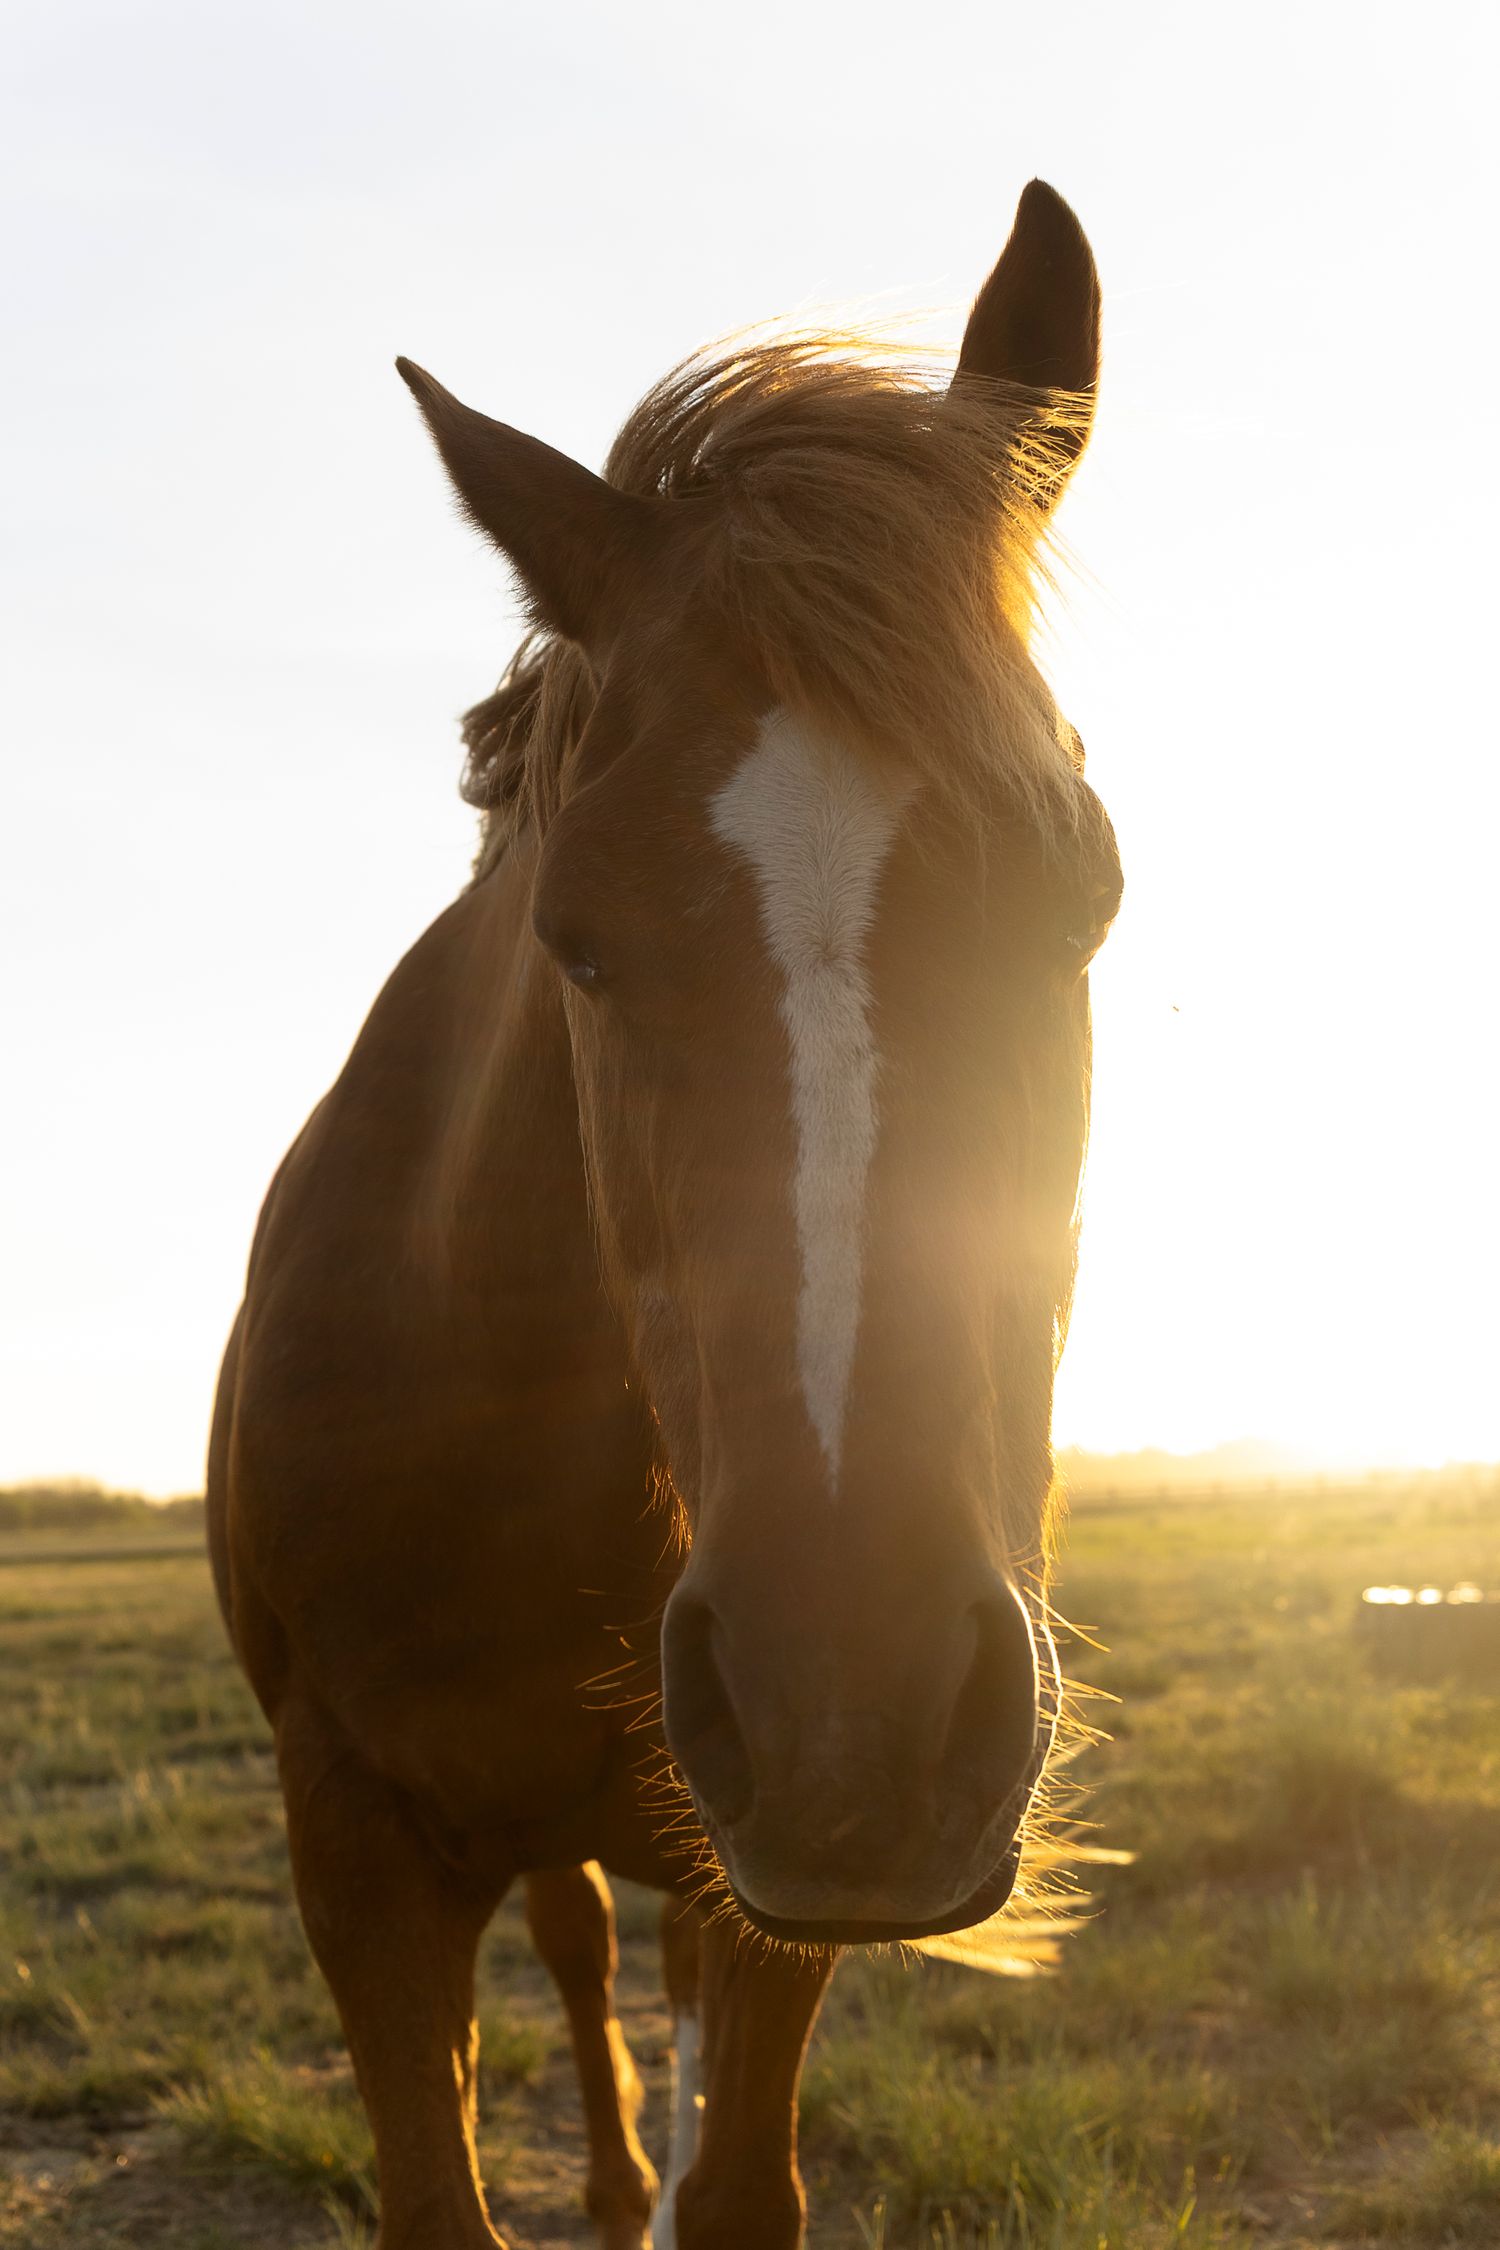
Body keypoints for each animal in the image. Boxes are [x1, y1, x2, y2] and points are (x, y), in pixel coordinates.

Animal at [206, 178, 1121, 2250]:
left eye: (1086, 890)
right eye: (579, 933)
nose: (857, 1708)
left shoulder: (761, 1888)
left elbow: (740, 2174)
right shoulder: (353, 1848)